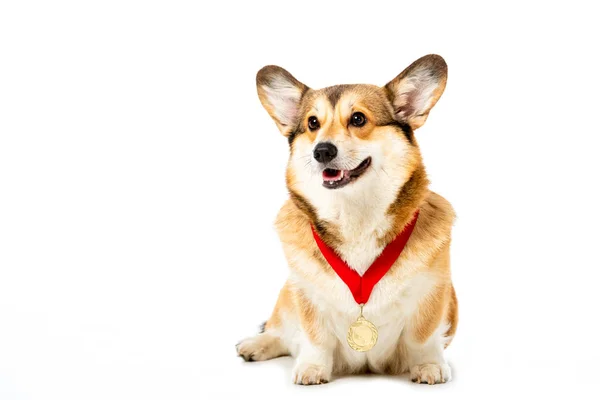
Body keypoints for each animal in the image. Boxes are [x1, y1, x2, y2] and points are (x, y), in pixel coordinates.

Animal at [237, 54, 458, 384]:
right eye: (312, 123)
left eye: (358, 119)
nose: (322, 151)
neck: (355, 214)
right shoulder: (306, 293)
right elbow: (314, 336)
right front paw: (312, 367)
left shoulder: (432, 292)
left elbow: (422, 336)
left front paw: (428, 365)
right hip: (286, 295)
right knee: (280, 332)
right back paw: (255, 345)